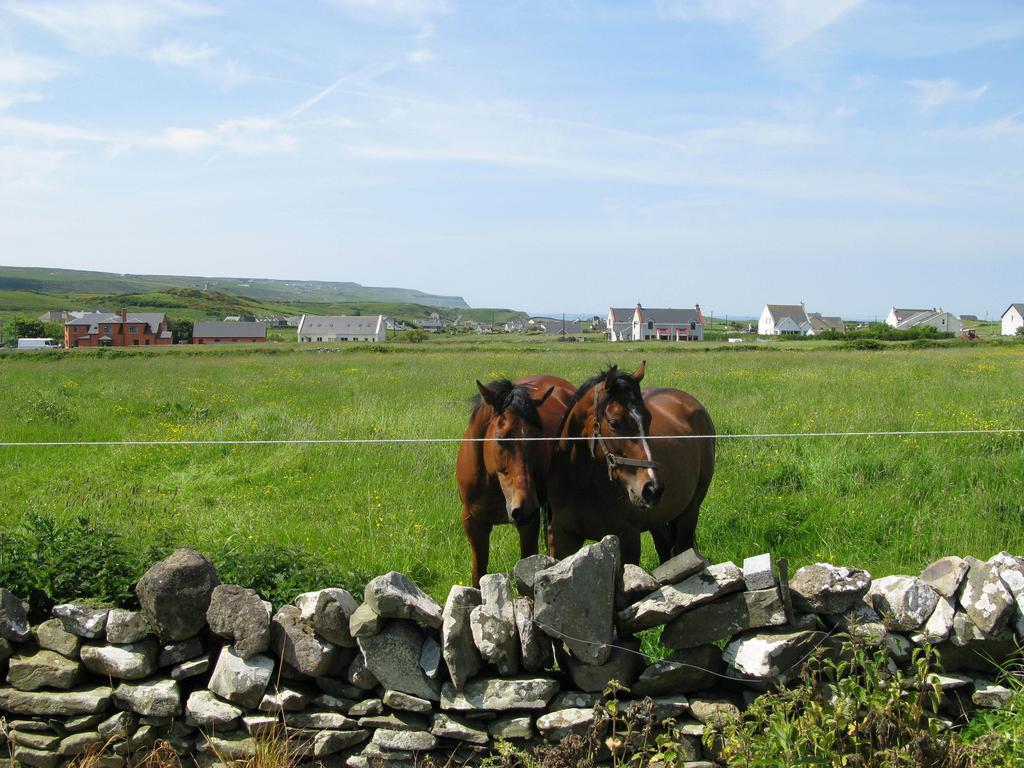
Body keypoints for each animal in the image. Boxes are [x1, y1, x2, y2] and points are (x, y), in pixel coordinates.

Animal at [456, 376, 577, 585]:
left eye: (538, 438)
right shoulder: (473, 524)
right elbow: (478, 574)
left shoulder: (529, 524)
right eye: (500, 438)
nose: (525, 507)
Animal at [548, 364, 716, 569]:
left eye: (649, 419)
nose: (652, 488)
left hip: (690, 511)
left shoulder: (627, 539)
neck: (582, 484)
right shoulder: (562, 538)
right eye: (614, 422)